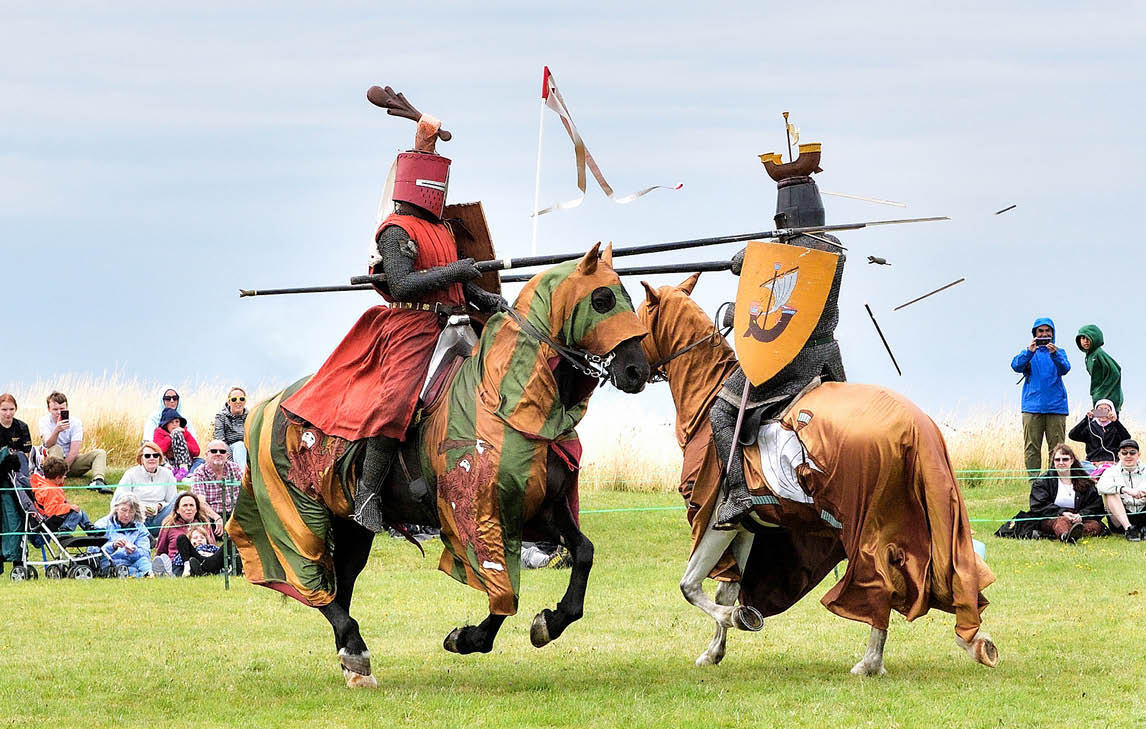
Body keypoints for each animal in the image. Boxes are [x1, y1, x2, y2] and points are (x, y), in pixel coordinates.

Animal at [226, 243, 651, 687]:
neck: (505, 400)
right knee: (307, 578)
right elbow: (503, 591)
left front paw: (550, 622)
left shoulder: (540, 510)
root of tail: (265, 407)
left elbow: (582, 552)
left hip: (349, 523)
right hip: (295, 511)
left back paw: (351, 657)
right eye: (602, 300)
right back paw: (354, 647)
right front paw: (469, 639)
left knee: (340, 583)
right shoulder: (481, 519)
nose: (636, 370)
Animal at [636, 274, 998, 676]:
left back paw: (869, 663)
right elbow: (725, 589)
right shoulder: (748, 524)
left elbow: (691, 587)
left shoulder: (717, 519)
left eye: (637, 319)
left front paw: (737, 619)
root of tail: (917, 425)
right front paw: (715, 650)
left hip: (868, 523)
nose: (629, 372)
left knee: (879, 580)